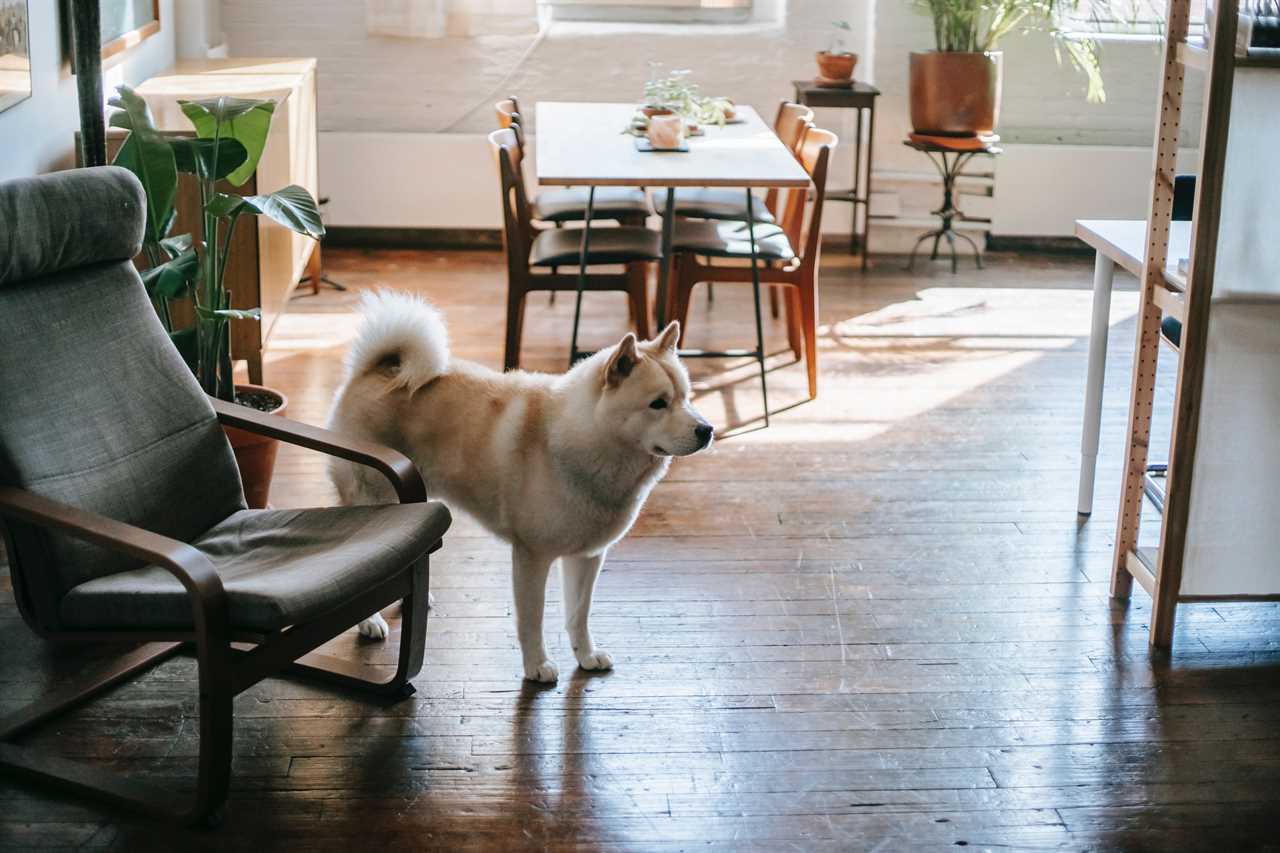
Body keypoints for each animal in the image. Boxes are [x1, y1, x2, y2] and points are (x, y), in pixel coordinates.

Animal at [325, 289, 716, 681]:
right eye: (658, 404)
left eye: (686, 397)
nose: (707, 429)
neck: (584, 439)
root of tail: (377, 369)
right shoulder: (532, 555)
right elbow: (533, 618)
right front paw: (537, 666)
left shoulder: (587, 556)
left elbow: (579, 614)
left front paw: (586, 656)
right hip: (376, 500)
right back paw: (370, 622)